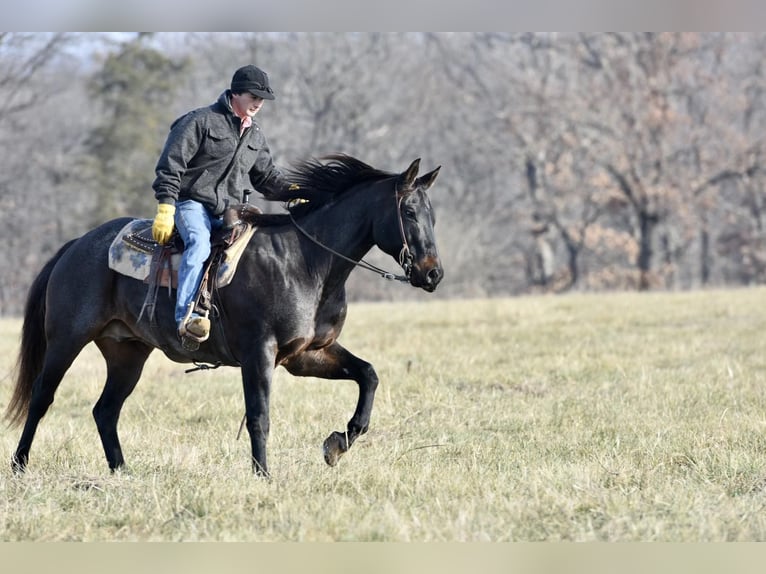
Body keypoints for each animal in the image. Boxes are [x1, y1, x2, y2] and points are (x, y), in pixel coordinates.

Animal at [6, 155, 444, 480]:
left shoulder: (308, 354)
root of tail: (76, 245)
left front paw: (337, 443)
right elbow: (259, 415)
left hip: (127, 352)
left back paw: (122, 472)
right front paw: (263, 475)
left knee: (105, 410)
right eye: (408, 211)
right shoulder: (259, 353)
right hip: (67, 340)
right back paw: (19, 465)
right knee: (42, 398)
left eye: (432, 215)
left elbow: (368, 375)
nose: (432, 274)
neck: (305, 261)